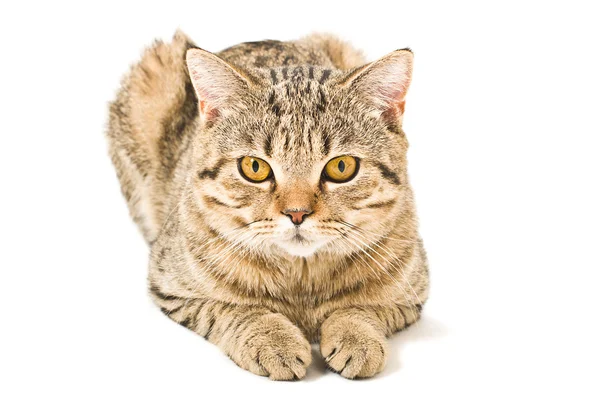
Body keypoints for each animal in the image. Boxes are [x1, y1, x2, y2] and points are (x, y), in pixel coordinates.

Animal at [106, 30, 426, 380]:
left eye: (341, 167)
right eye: (254, 167)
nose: (297, 213)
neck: (301, 279)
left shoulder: (412, 295)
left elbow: (361, 307)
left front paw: (356, 336)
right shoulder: (170, 286)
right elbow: (234, 310)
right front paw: (273, 339)